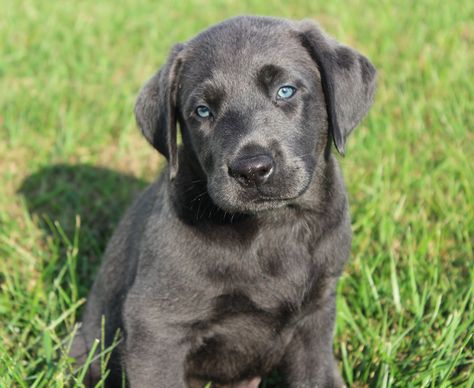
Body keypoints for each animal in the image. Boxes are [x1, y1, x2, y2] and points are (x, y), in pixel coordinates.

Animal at [71, 15, 374, 388]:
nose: (252, 170)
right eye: (202, 111)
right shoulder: (155, 326)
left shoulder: (315, 318)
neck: (271, 227)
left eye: (285, 90)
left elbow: (315, 376)